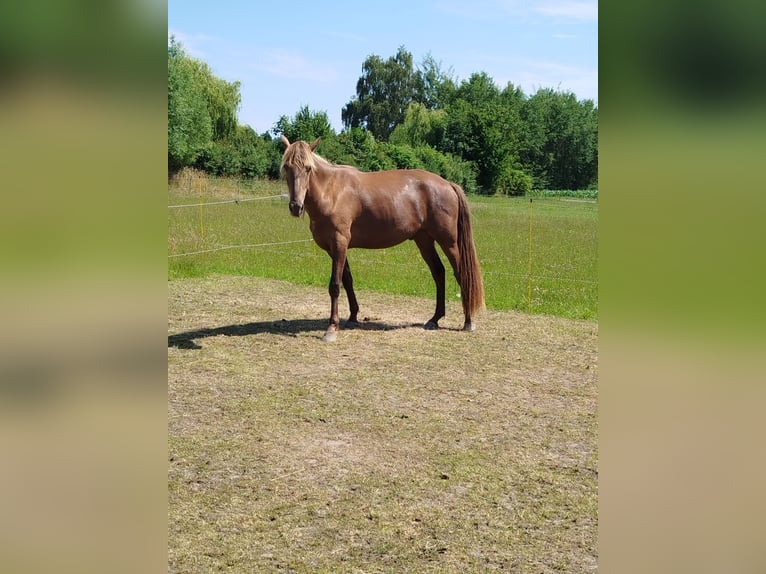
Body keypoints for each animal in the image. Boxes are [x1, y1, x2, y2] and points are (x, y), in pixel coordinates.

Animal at [280, 135, 484, 342]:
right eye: (287, 167)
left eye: (308, 168)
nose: (296, 206)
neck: (332, 192)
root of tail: (448, 184)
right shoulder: (335, 249)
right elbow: (348, 280)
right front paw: (353, 317)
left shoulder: (339, 243)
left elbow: (335, 285)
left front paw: (331, 328)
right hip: (424, 241)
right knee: (438, 272)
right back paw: (434, 319)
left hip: (449, 242)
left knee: (461, 274)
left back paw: (468, 322)